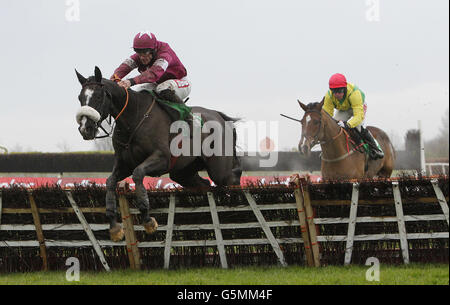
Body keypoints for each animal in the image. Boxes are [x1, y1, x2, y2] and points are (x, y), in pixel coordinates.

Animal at [74, 66, 243, 240]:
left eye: (98, 96)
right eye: (80, 97)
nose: (85, 128)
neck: (134, 117)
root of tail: (220, 117)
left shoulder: (162, 159)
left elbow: (138, 174)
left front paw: (148, 220)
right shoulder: (124, 164)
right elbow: (110, 182)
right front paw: (114, 227)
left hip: (219, 169)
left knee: (232, 178)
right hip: (183, 172)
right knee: (205, 184)